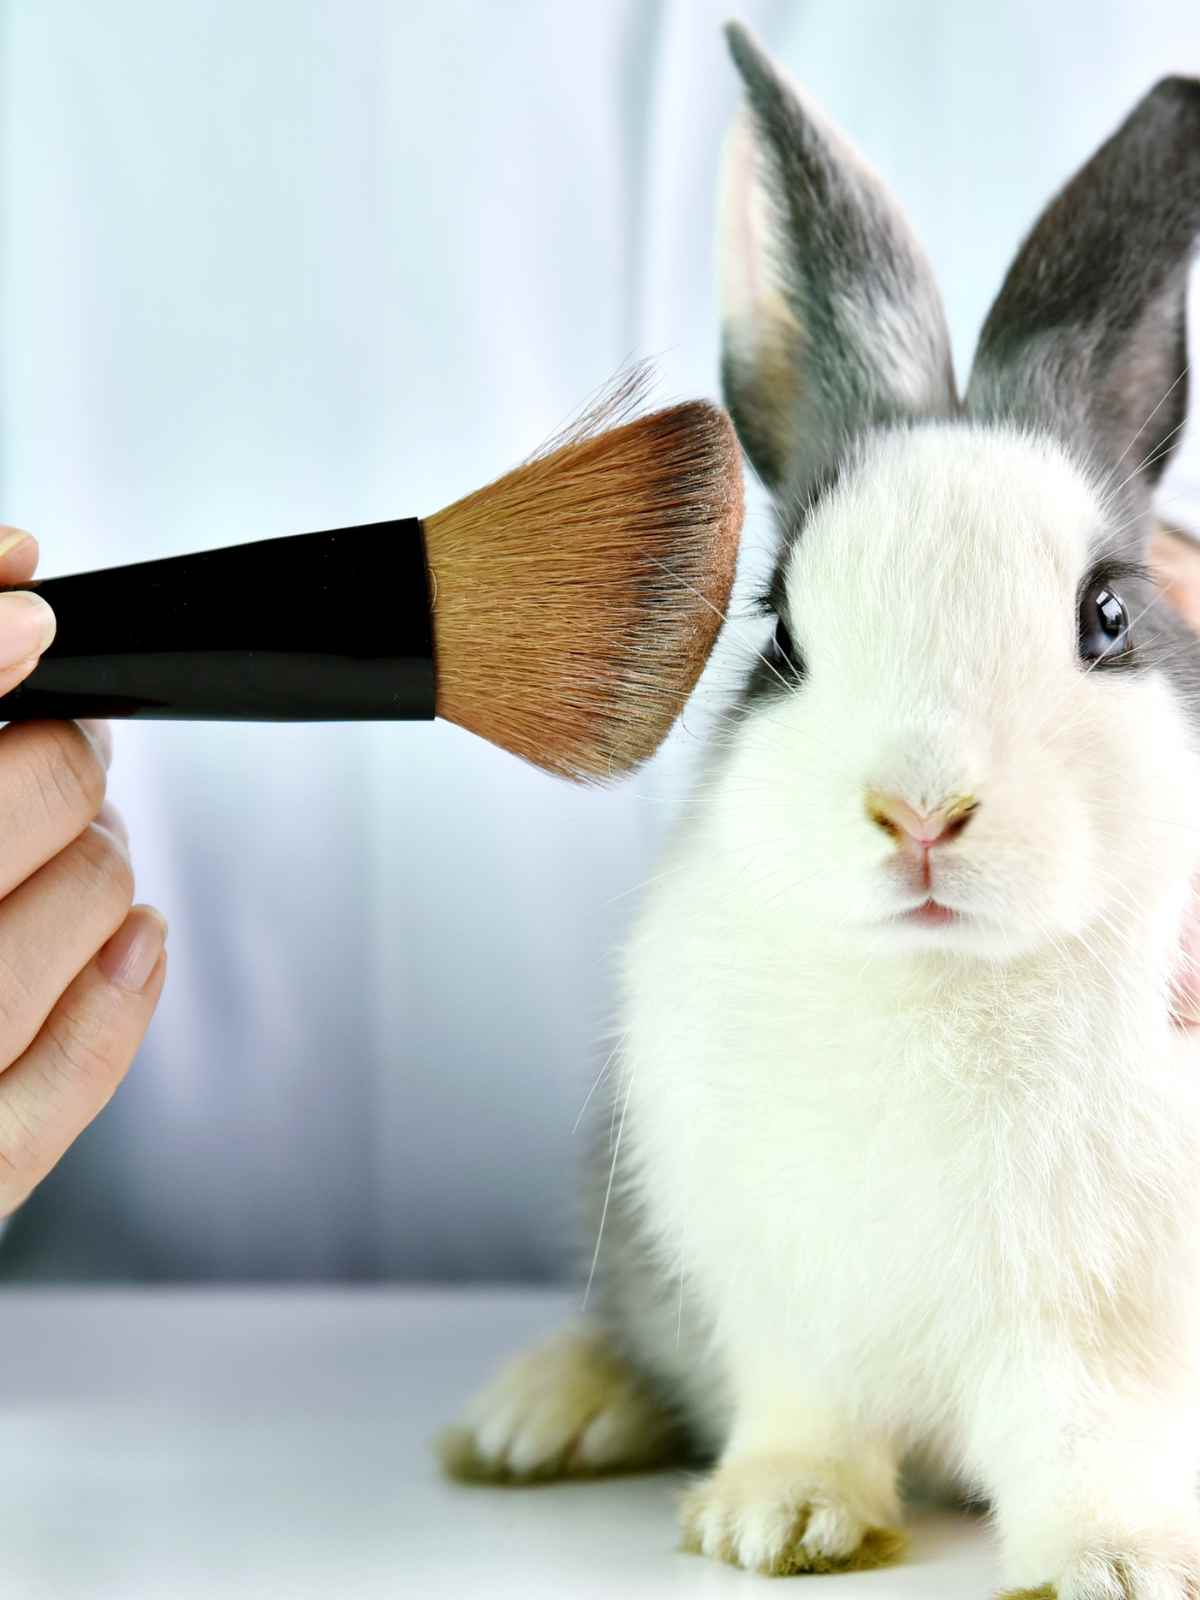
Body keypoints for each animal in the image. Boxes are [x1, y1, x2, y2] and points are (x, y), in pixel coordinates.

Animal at [439, 21, 1200, 1597]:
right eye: (781, 634)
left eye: (1106, 617)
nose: (920, 809)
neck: (940, 982)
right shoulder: (789, 1303)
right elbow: (806, 1410)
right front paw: (774, 1521)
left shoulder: (1103, 1342)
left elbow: (1091, 1443)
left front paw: (1114, 1562)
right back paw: (537, 1417)